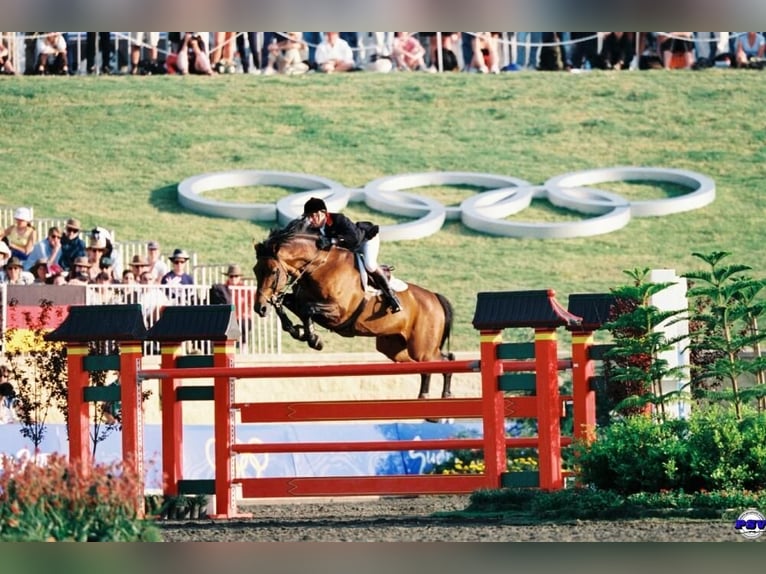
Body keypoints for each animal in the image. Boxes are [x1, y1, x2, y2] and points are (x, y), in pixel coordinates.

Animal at [252, 218, 455, 400]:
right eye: (255, 270)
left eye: (273, 271)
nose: (259, 308)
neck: (319, 265)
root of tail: (434, 297)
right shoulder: (300, 300)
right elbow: (285, 305)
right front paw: (301, 332)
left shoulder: (340, 312)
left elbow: (307, 310)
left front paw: (313, 338)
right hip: (394, 348)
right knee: (428, 364)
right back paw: (431, 396)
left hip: (422, 348)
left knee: (441, 361)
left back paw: (438, 396)